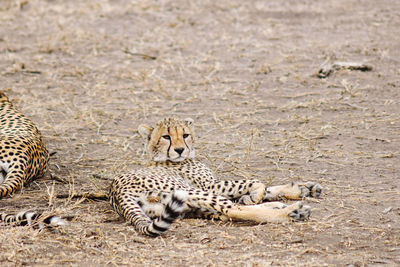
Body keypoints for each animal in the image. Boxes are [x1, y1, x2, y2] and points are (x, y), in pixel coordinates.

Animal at [109, 118, 322, 238]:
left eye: (185, 135)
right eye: (166, 137)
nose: (179, 150)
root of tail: (116, 193)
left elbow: (261, 188)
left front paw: (301, 188)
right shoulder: (210, 186)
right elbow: (252, 182)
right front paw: (257, 194)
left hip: (186, 207)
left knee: (230, 212)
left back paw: (285, 207)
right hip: (188, 191)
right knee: (234, 210)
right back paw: (290, 212)